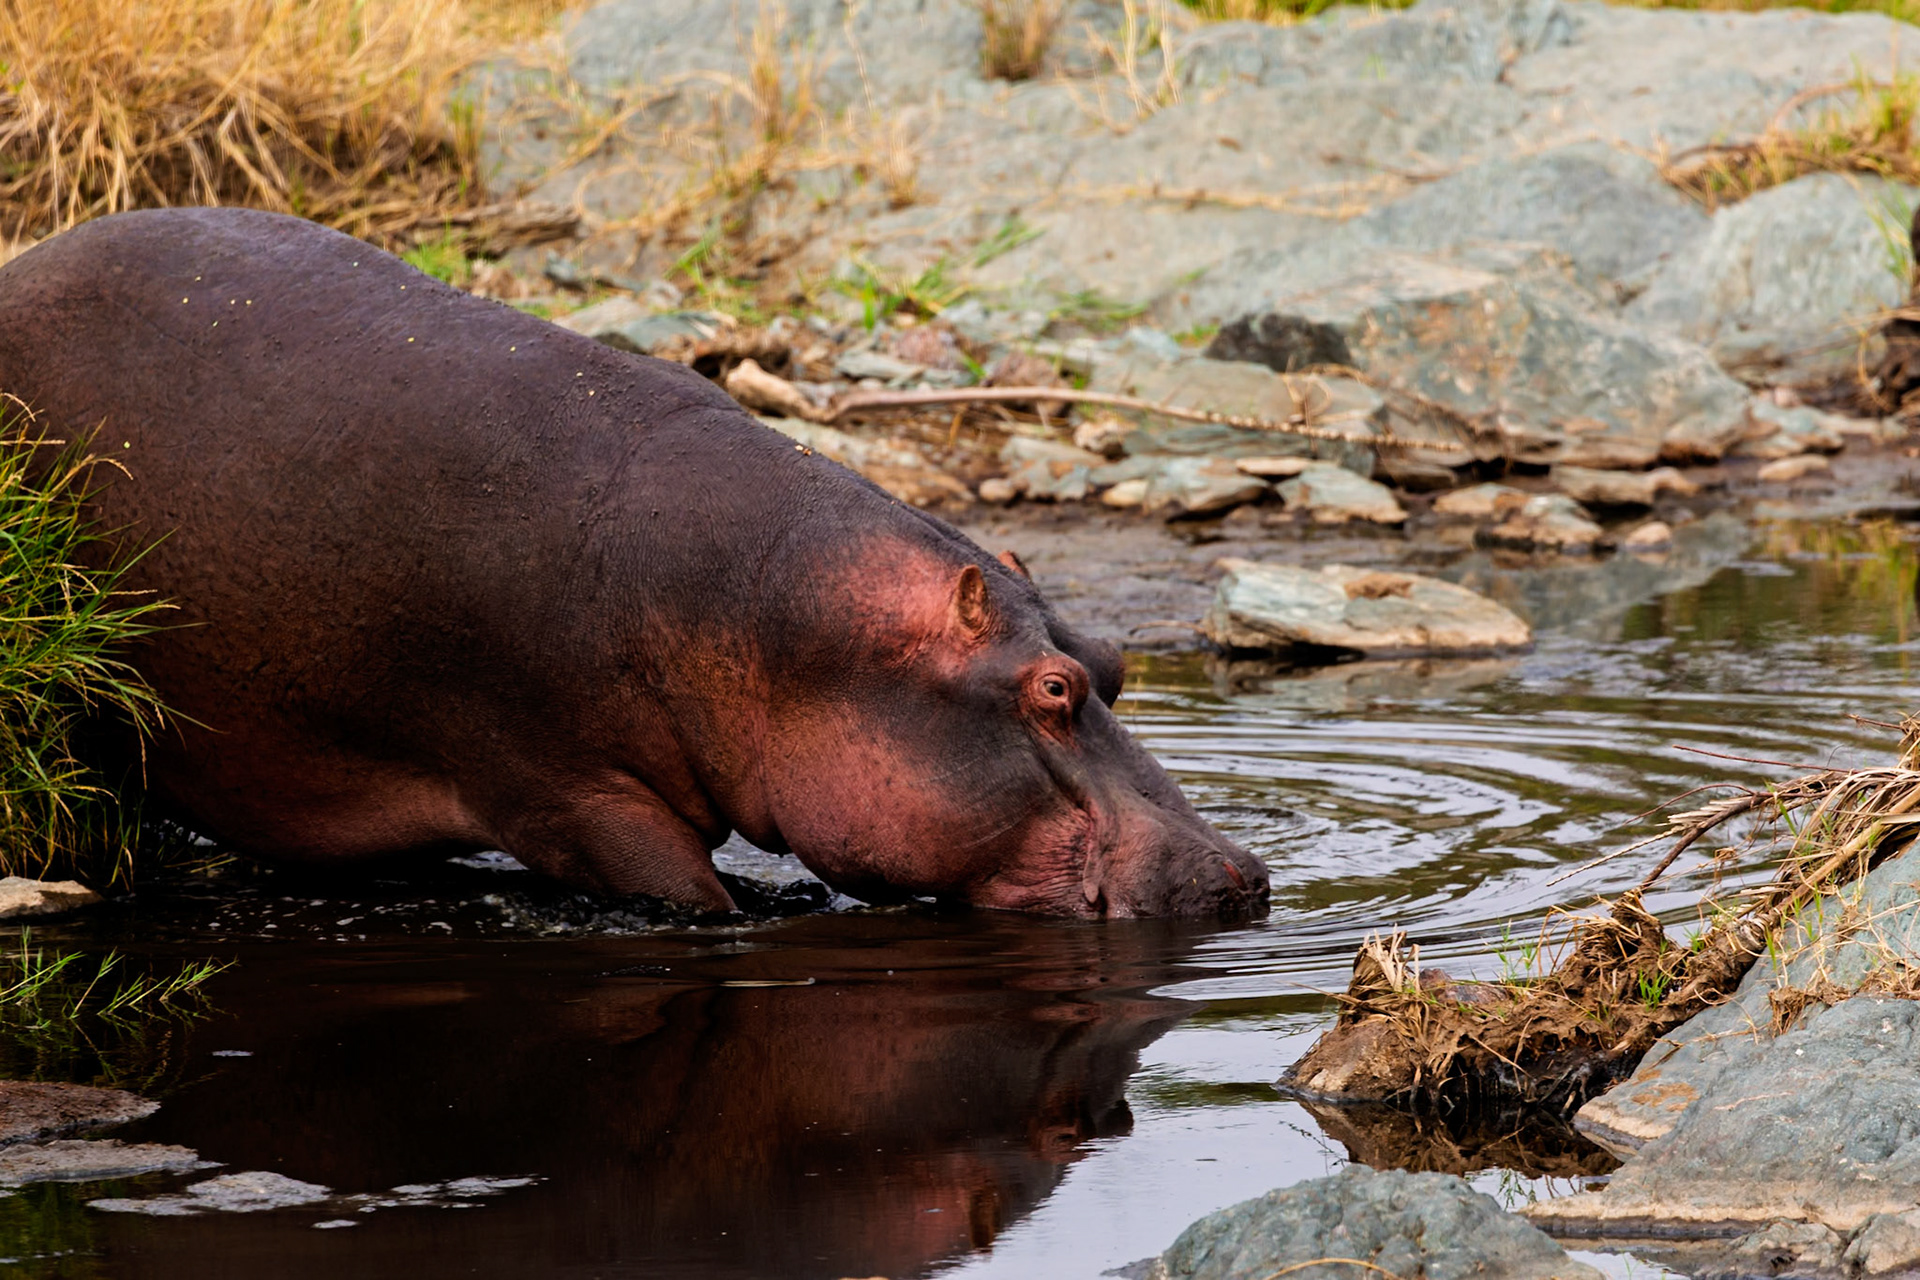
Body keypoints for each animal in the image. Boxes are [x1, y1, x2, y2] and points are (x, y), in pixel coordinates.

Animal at [0, 208, 1269, 918]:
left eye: (1114, 660)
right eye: (1051, 690)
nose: (1242, 873)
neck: (774, 621)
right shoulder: (565, 789)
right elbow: (689, 898)